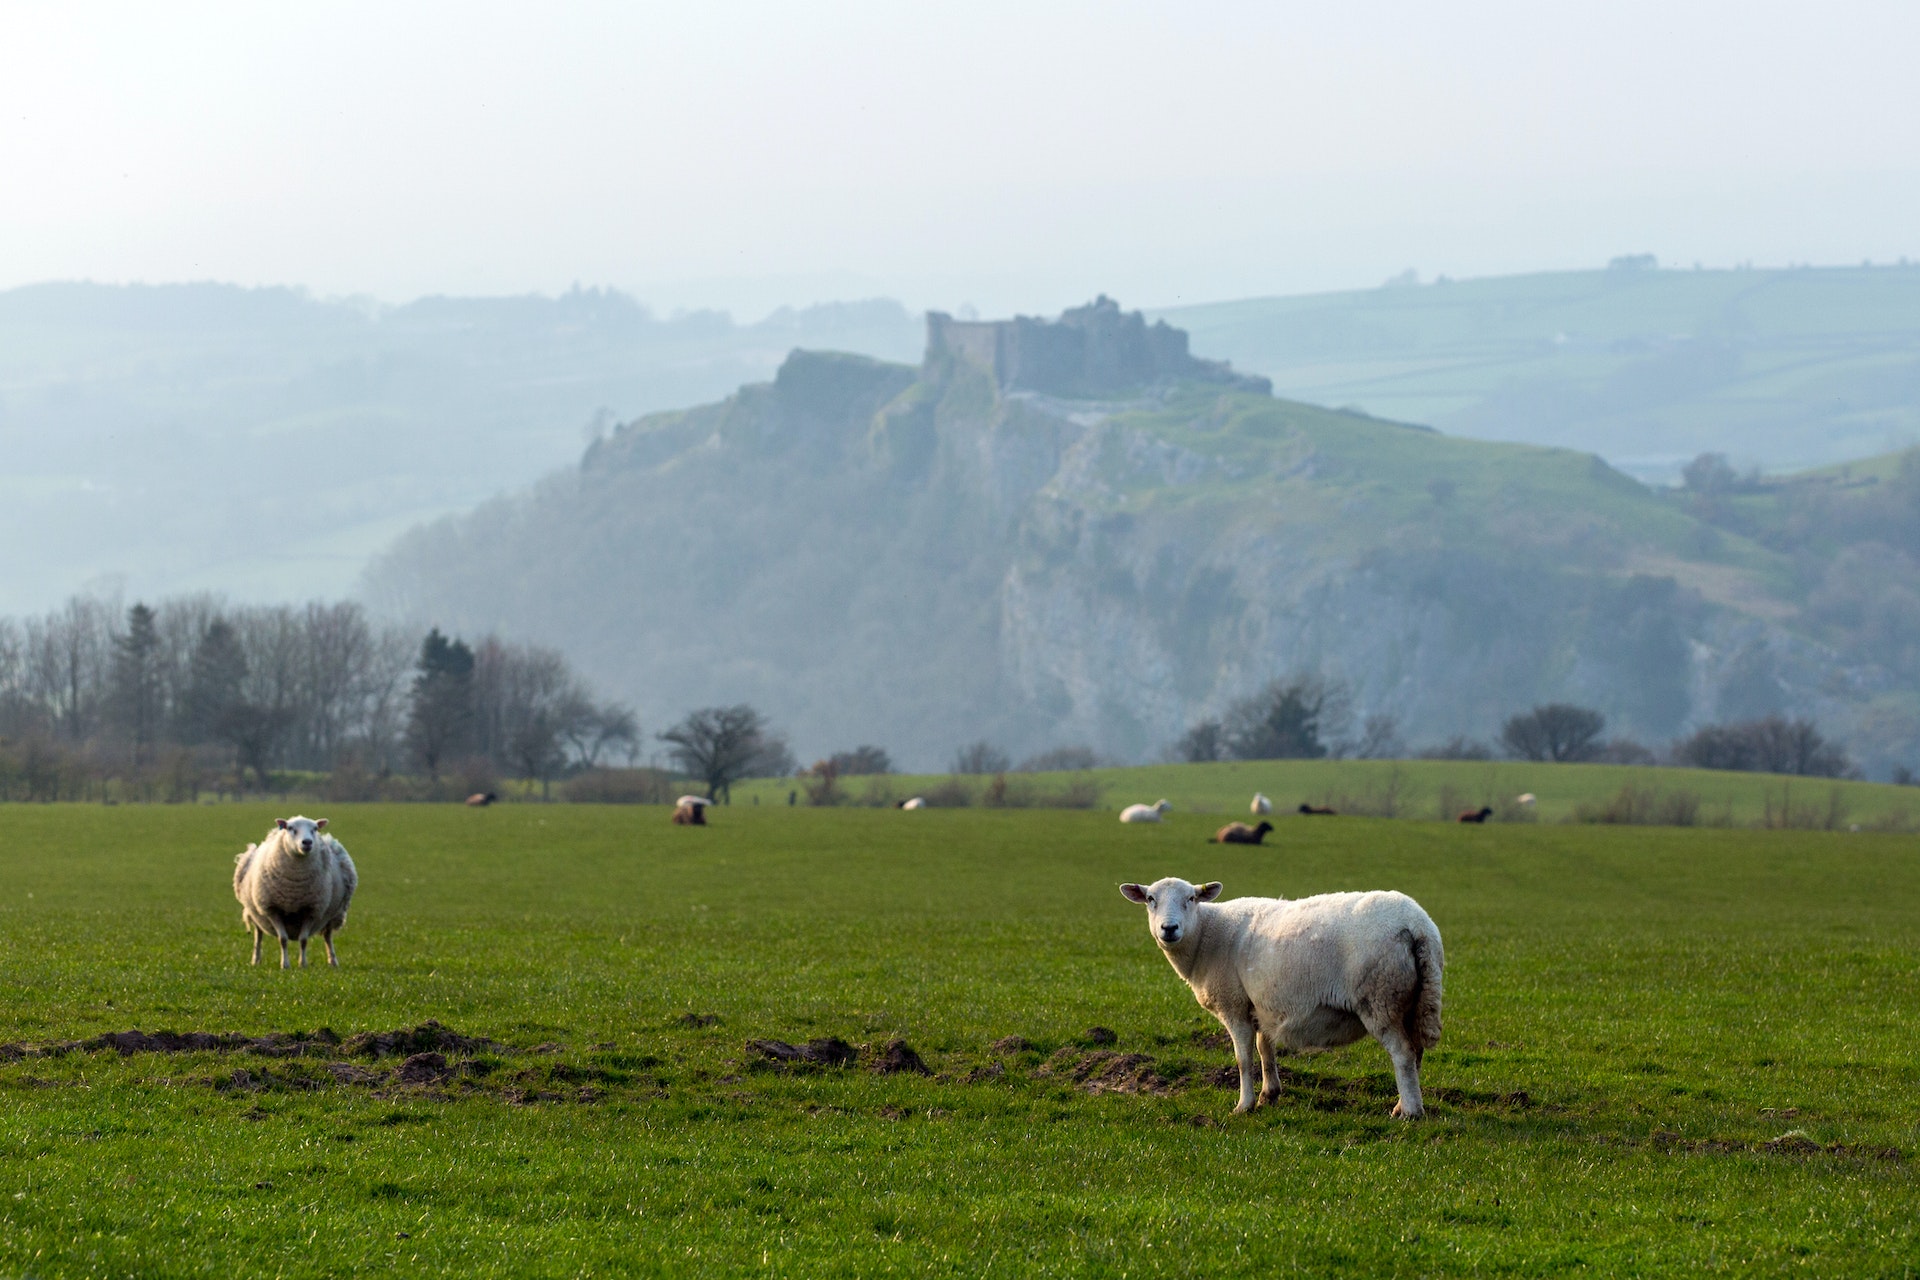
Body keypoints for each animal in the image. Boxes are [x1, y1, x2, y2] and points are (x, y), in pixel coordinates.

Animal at [234, 821, 359, 971]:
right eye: (291, 828)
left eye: (315, 829)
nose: (307, 842)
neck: (294, 890)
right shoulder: (272, 910)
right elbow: (283, 939)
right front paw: (285, 965)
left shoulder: (312, 910)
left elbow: (303, 940)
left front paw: (302, 964)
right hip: (257, 915)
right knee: (258, 935)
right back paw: (256, 960)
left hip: (334, 914)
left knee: (328, 936)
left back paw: (333, 962)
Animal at [1121, 875, 1443, 1113]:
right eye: (1151, 900)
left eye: (1190, 899)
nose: (1169, 928)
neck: (1206, 938)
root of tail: (1418, 926)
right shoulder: (1262, 1006)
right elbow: (1265, 1049)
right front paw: (1269, 1094)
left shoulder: (1233, 1005)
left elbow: (1243, 1058)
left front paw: (1244, 1105)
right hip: (1413, 999)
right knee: (1416, 1053)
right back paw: (1405, 1103)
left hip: (1380, 998)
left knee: (1402, 1053)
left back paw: (1410, 1113)